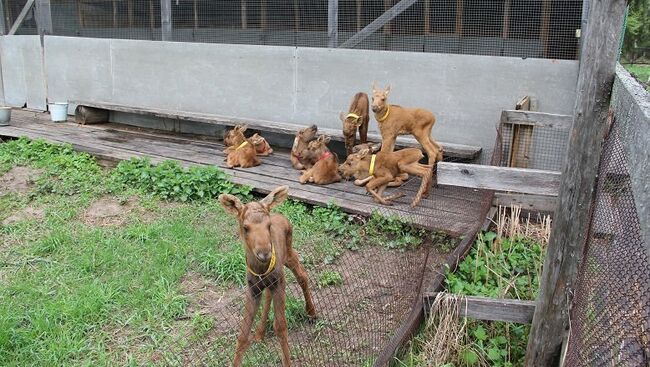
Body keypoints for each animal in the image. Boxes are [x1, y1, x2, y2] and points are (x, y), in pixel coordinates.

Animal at [219, 188, 318, 366]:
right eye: (245, 227)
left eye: (268, 225)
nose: (265, 253)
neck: (261, 269)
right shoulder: (253, 288)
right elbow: (243, 334)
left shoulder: (279, 281)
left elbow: (281, 327)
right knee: (268, 295)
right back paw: (260, 332)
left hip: (289, 254)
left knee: (302, 275)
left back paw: (311, 313)